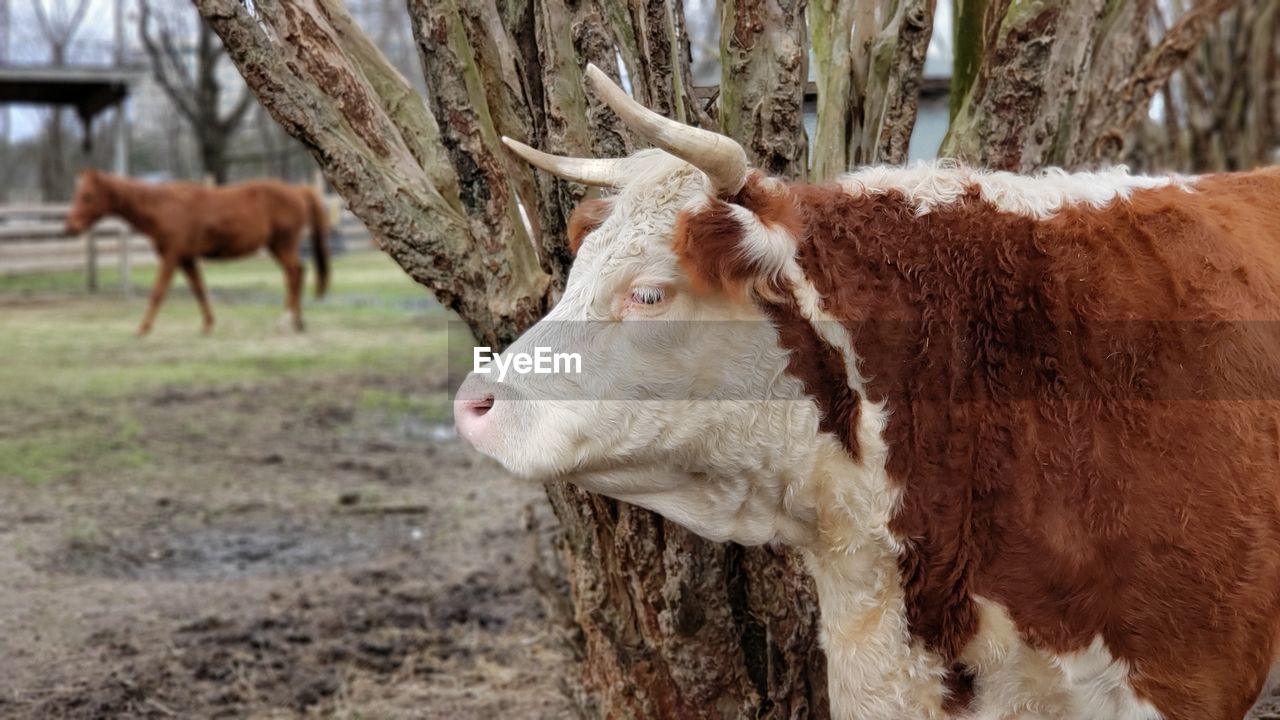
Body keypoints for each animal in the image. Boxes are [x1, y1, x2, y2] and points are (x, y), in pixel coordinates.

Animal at [64, 169, 330, 335]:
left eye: (87, 196)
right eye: (77, 194)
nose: (70, 227)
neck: (162, 207)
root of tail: (298, 190)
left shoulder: (171, 257)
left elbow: (158, 292)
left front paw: (142, 328)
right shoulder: (186, 259)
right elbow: (199, 289)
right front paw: (208, 324)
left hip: (283, 244)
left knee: (294, 274)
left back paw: (287, 320)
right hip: (278, 247)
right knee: (297, 273)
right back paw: (297, 321)